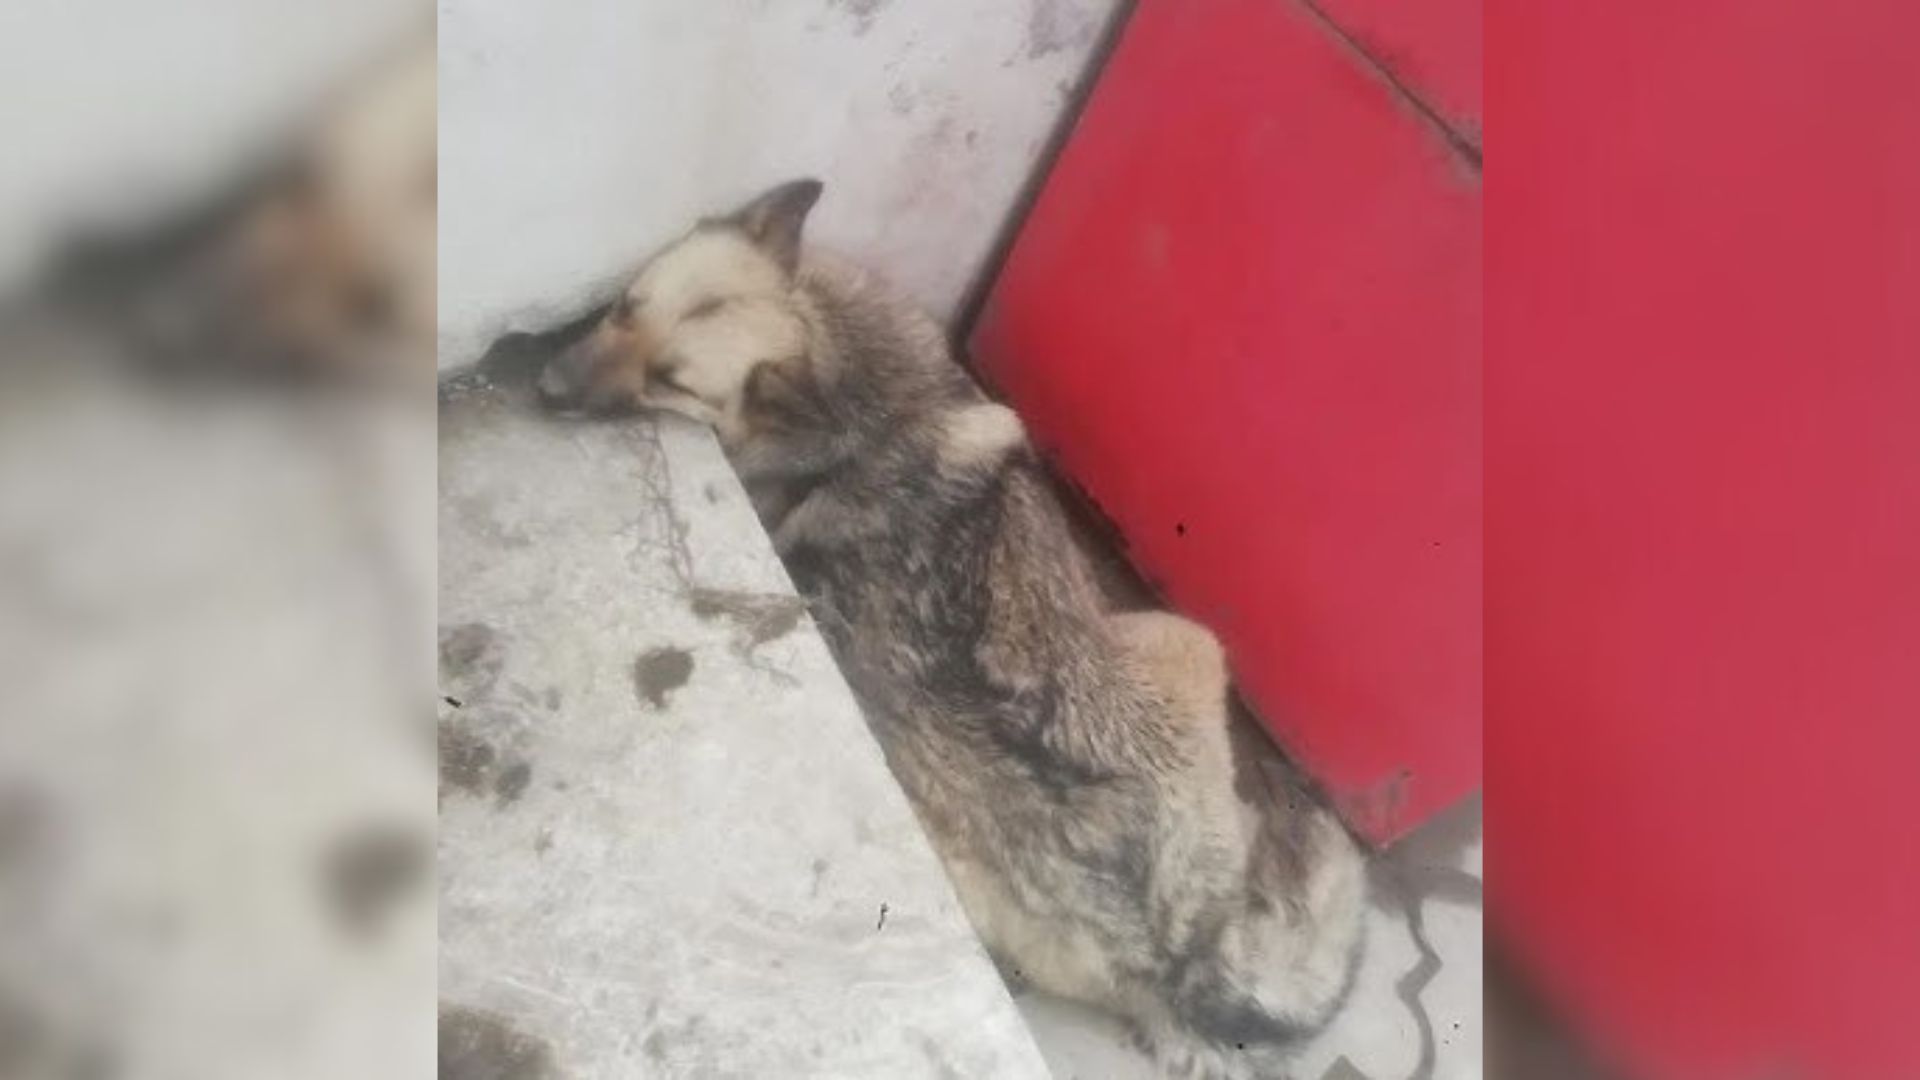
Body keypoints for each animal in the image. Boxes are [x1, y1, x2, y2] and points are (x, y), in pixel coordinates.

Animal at [537, 180, 1367, 1068]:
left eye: (671, 383)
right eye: (623, 308)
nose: (544, 386)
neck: (849, 383)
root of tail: (1175, 954)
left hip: (1181, 640)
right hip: (1183, 640)